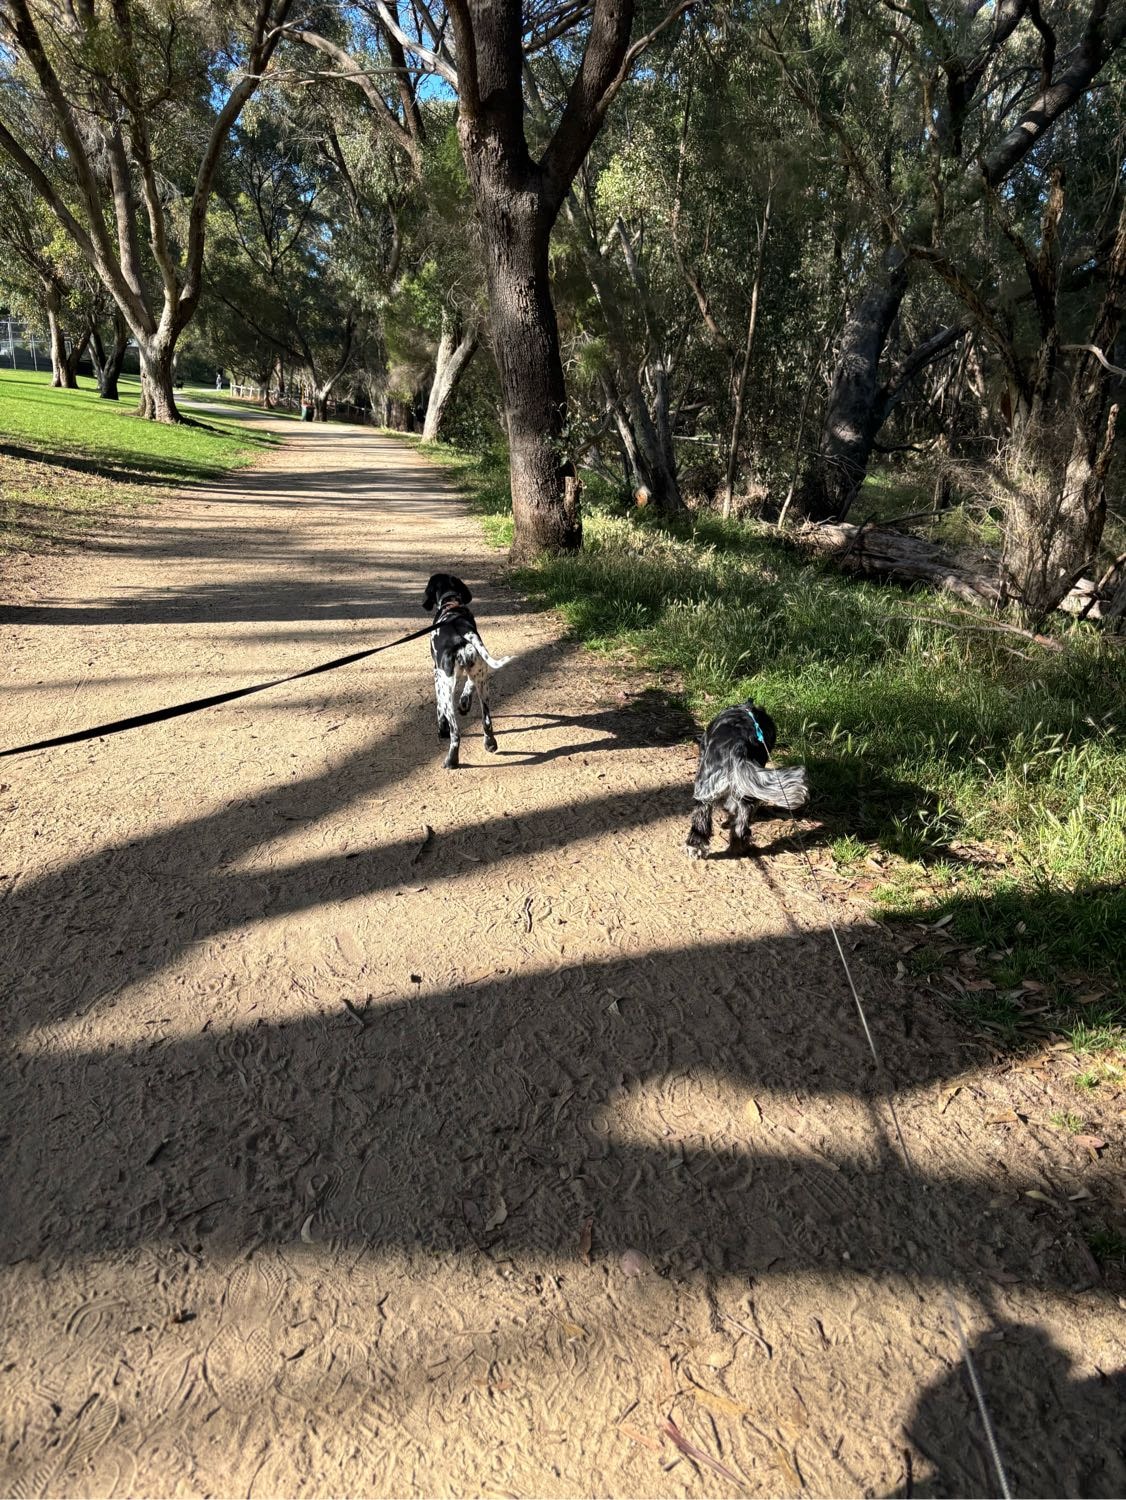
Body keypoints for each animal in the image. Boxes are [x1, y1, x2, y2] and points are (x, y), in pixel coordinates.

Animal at [423, 573, 513, 769]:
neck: (451, 604)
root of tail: (462, 636)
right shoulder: (475, 676)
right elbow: (467, 689)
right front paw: (465, 703)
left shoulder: (436, 675)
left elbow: (439, 709)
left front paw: (441, 728)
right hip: (483, 684)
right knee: (486, 721)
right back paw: (490, 744)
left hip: (447, 688)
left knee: (455, 732)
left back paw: (451, 761)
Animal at [685, 702, 809, 858]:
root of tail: (739, 746)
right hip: (743, 791)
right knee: (741, 823)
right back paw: (739, 848)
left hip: (706, 788)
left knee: (701, 817)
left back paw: (694, 846)